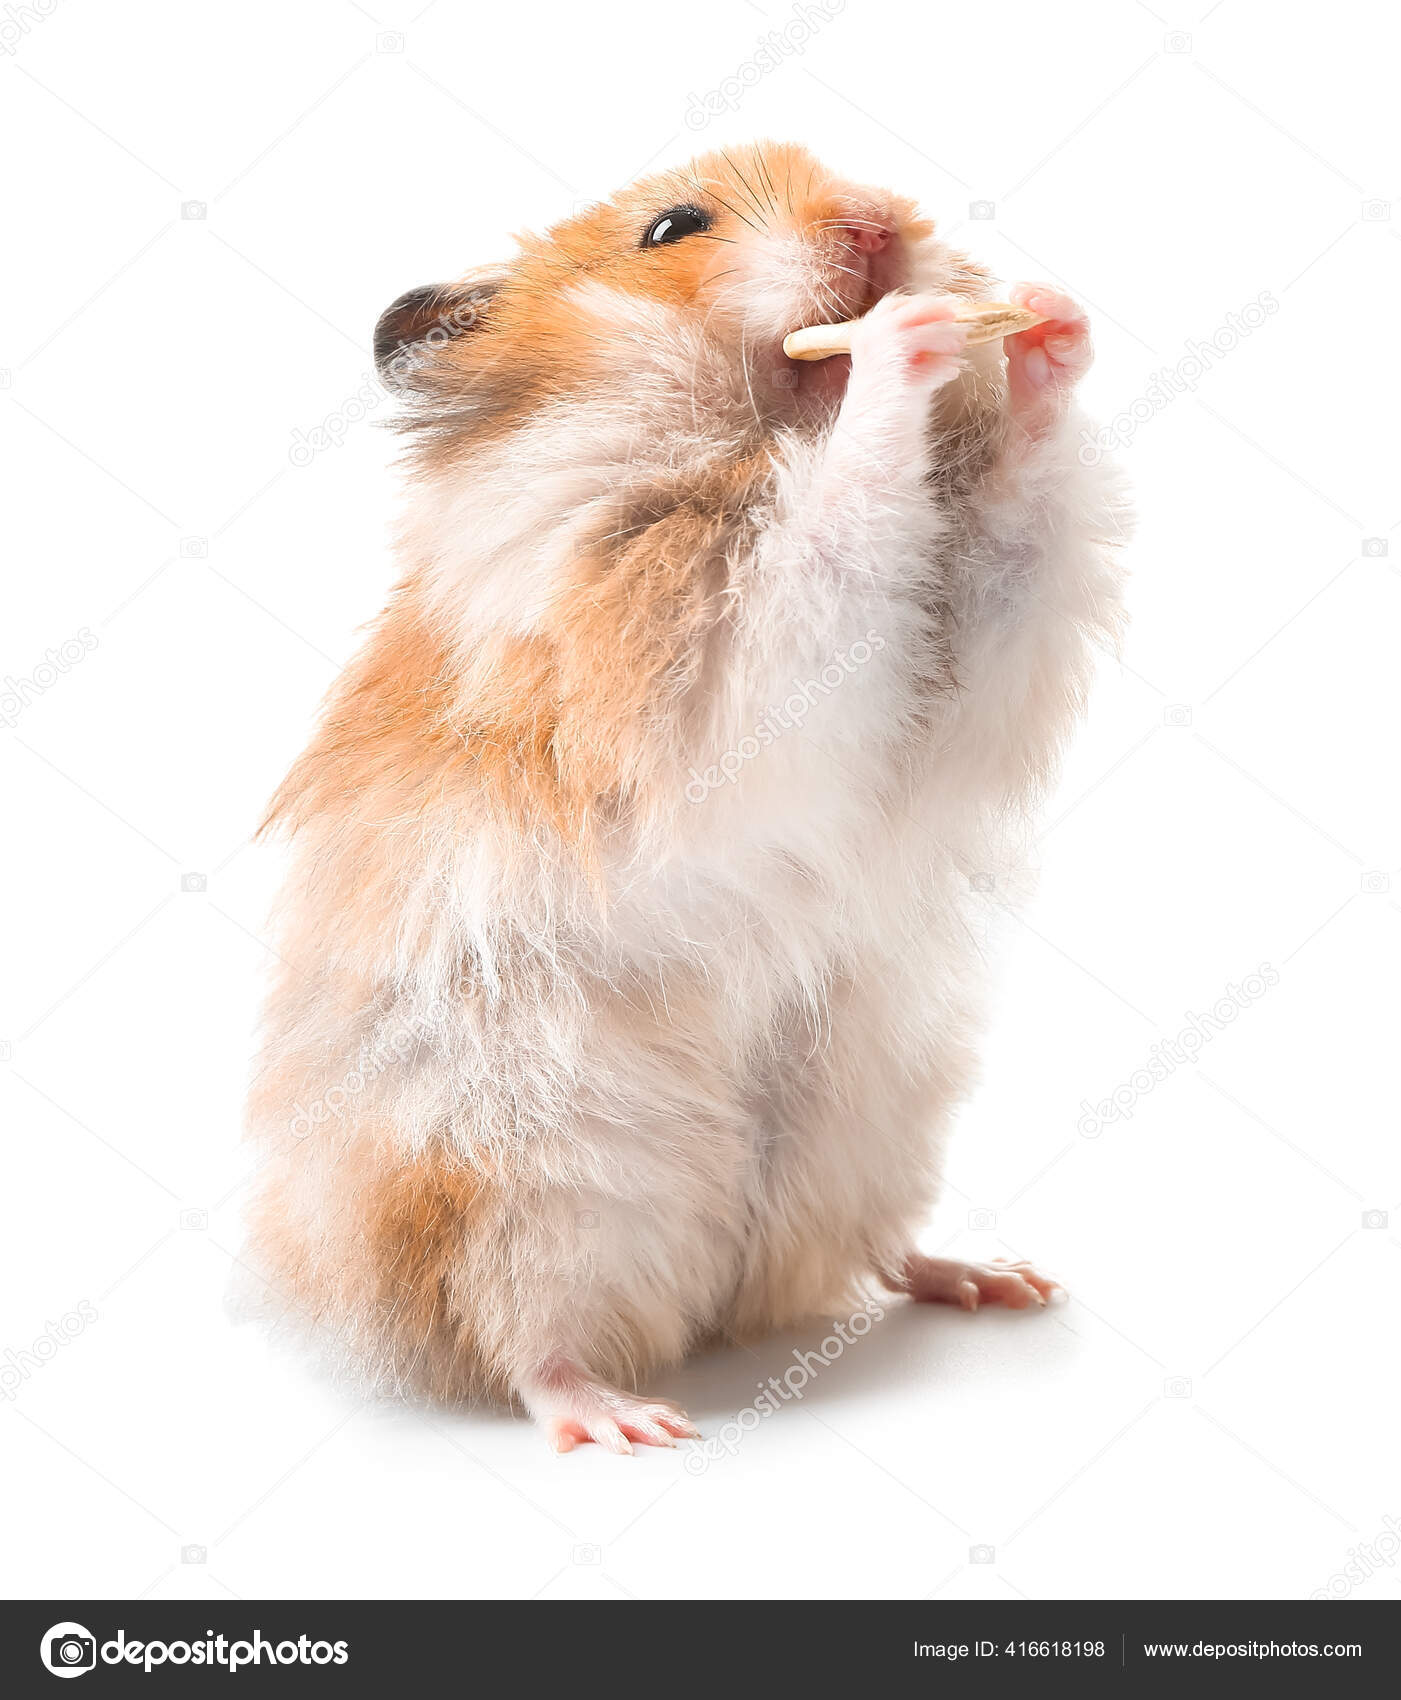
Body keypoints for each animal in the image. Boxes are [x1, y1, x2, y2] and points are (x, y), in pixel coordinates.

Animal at [245, 142, 1125, 1452]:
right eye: (672, 228)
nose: (880, 224)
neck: (764, 417)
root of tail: (718, 1300)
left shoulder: (966, 650)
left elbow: (1016, 528)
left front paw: (1047, 322)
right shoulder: (689, 637)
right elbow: (834, 521)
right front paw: (900, 340)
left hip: (874, 1109)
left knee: (859, 1249)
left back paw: (993, 1278)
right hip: (533, 1173)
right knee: (518, 1332)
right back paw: (628, 1419)